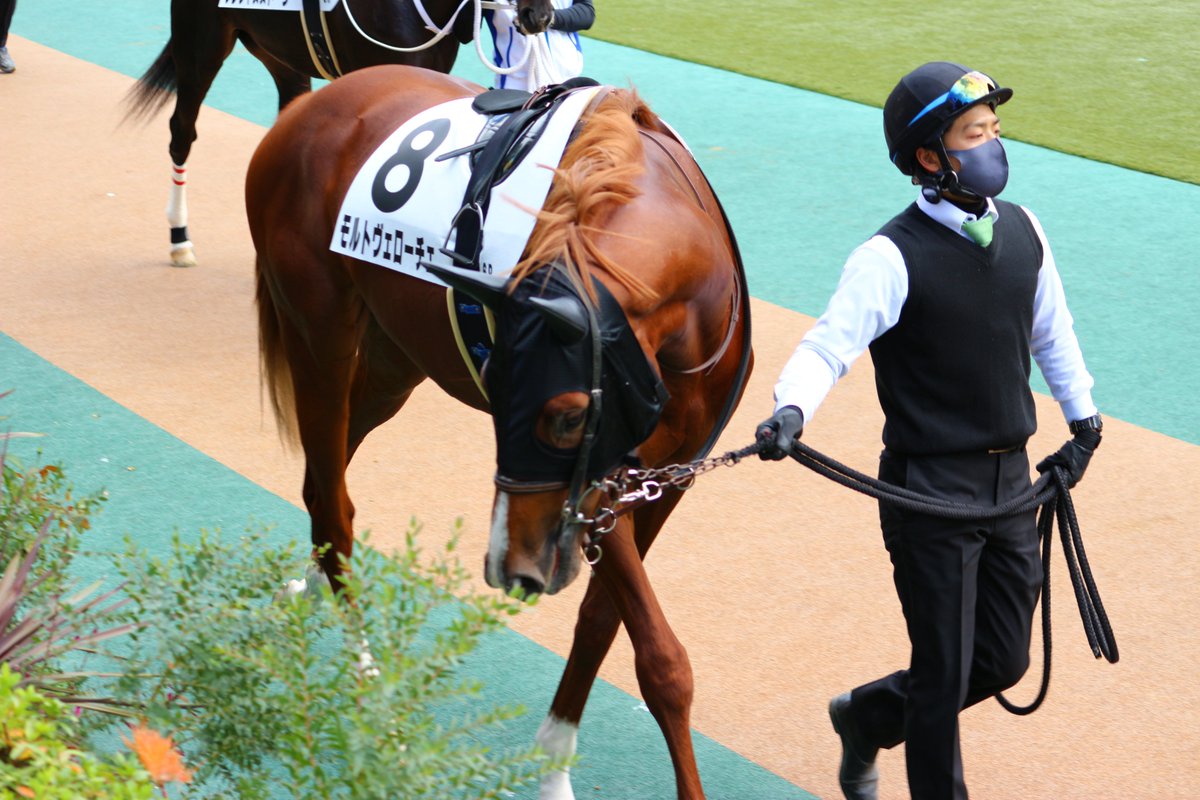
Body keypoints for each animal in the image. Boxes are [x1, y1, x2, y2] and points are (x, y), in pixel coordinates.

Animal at [246, 64, 753, 800]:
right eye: (496, 391)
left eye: (567, 416)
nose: (507, 568)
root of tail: (306, 110)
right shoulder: (604, 485)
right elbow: (660, 659)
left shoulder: (670, 475)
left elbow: (603, 624)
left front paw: (553, 765)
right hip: (319, 331)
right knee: (333, 500)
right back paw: (372, 686)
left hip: (396, 360)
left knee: (323, 479)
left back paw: (314, 584)